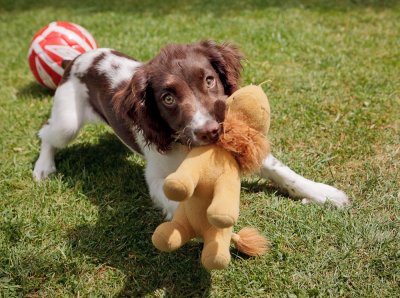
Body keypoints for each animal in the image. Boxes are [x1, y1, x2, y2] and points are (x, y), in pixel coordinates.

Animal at [32, 40, 348, 219]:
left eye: (209, 80)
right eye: (167, 99)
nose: (210, 132)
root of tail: (78, 58)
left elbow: (283, 171)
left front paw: (323, 193)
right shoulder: (157, 177)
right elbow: (175, 202)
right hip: (67, 122)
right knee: (46, 133)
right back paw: (43, 166)